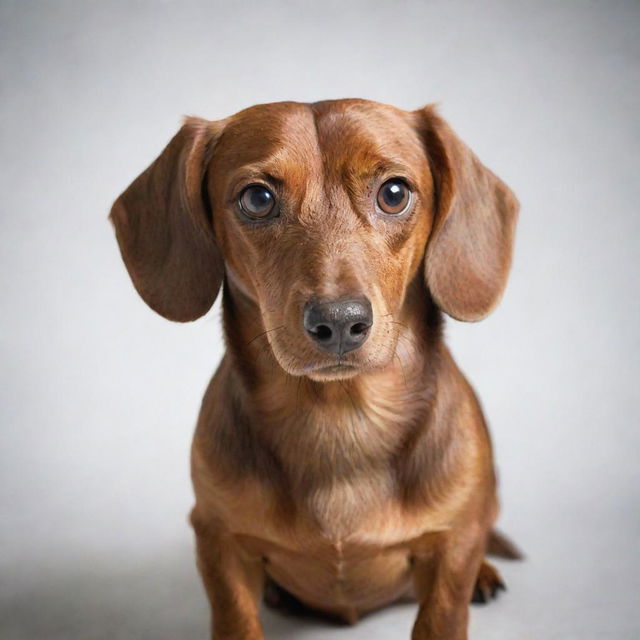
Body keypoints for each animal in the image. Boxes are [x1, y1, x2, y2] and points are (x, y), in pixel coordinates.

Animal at [110, 97, 520, 636]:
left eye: (394, 193)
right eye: (257, 198)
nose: (339, 321)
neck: (339, 419)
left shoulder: (453, 544)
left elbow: (442, 615)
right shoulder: (218, 540)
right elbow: (236, 617)